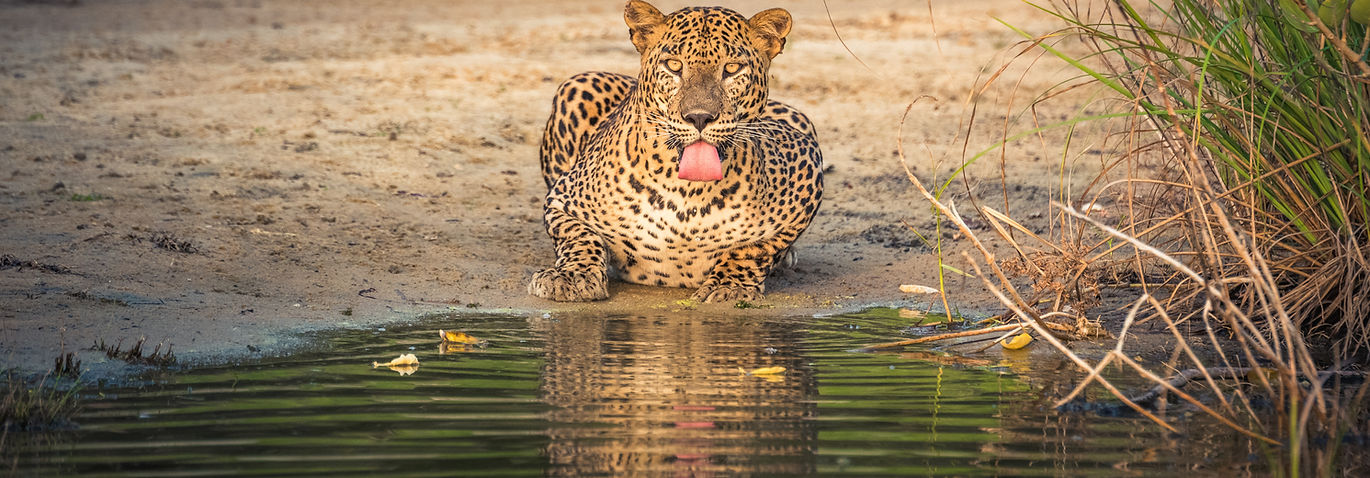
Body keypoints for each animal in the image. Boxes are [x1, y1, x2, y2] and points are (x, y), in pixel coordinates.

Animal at [528, 0, 824, 303]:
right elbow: (579, 236)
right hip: (578, 83)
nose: (699, 117)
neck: (687, 193)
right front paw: (571, 277)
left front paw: (728, 287)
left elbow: (755, 248)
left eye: (731, 68)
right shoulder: (563, 199)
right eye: (673, 65)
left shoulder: (807, 163)